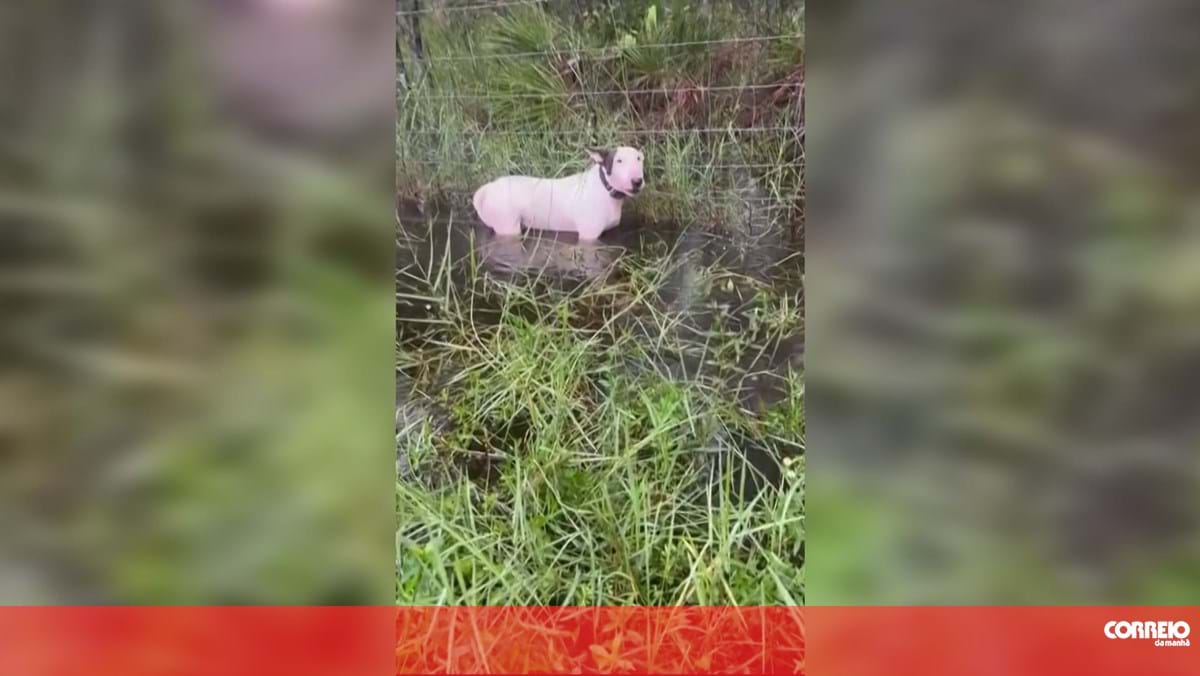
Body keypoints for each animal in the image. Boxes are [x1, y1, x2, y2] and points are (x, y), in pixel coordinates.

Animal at [470, 147, 648, 242]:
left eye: (639, 159)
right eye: (619, 160)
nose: (637, 181)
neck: (604, 189)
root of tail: (486, 189)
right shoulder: (588, 235)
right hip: (507, 225)